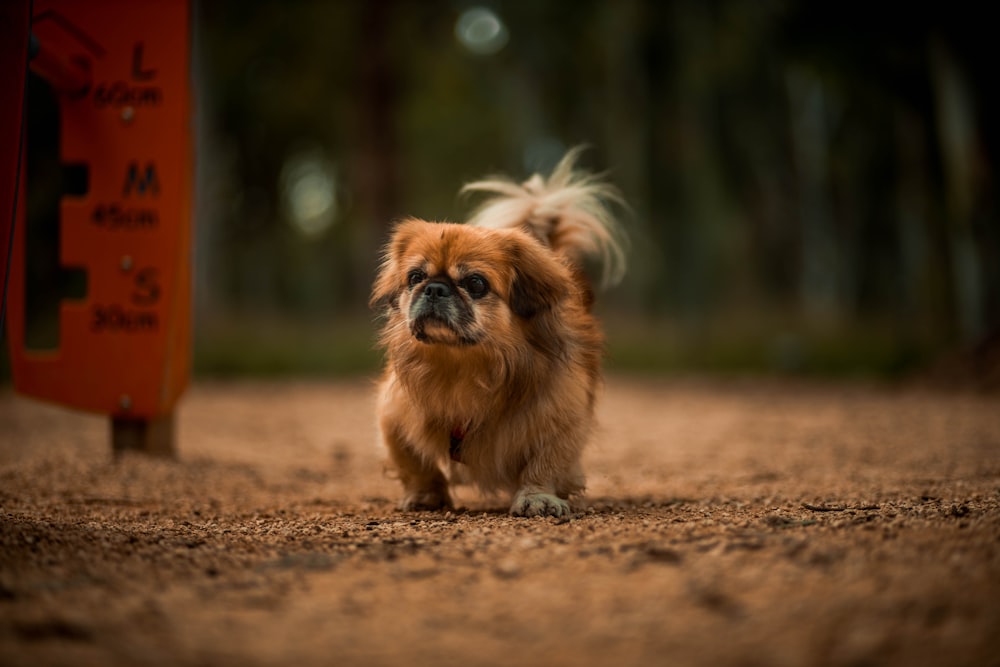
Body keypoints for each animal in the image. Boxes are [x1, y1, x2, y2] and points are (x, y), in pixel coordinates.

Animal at [374, 149, 624, 520]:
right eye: (415, 277)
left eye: (475, 283)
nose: (434, 288)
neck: (461, 366)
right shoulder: (393, 413)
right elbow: (414, 462)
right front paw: (424, 495)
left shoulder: (561, 413)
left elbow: (545, 463)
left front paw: (537, 498)